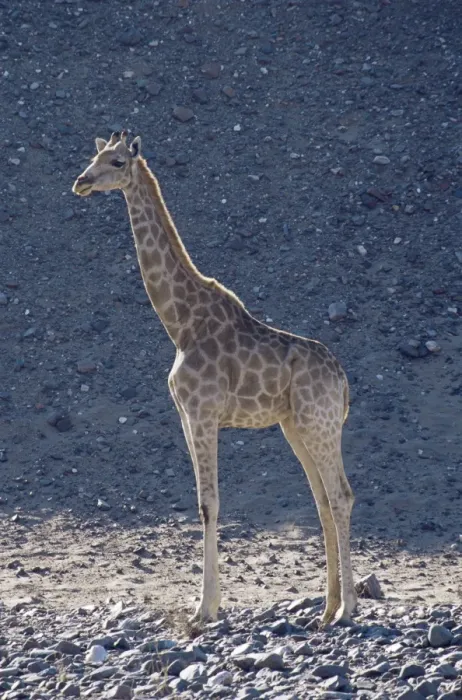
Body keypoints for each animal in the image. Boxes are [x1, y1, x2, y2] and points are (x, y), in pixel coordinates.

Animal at [73, 131, 357, 627]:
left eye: (117, 161)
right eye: (93, 156)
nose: (81, 182)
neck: (181, 323)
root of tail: (342, 383)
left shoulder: (203, 413)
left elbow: (210, 503)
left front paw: (204, 609)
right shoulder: (186, 416)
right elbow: (201, 502)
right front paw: (205, 604)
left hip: (319, 424)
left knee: (341, 495)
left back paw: (348, 609)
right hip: (296, 427)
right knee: (323, 500)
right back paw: (325, 610)